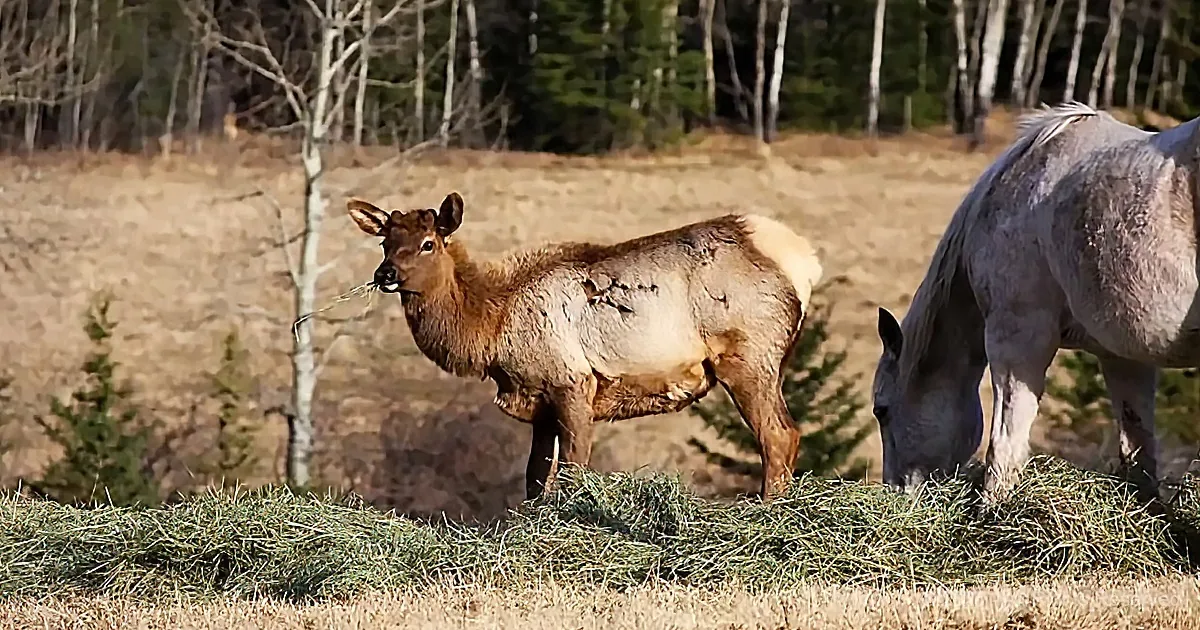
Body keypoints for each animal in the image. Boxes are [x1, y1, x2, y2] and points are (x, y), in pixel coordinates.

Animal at [346, 192, 824, 501]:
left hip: (747, 356)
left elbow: (574, 470)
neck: (492, 330)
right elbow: (534, 478)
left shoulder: (573, 383)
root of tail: (803, 261)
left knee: (778, 435)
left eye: (429, 243)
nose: (385, 274)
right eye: (386, 242)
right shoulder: (536, 400)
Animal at [872, 101, 1200, 504]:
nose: (895, 492)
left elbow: (1005, 442)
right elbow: (1138, 451)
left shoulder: (1017, 337)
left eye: (882, 410)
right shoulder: (1124, 355)